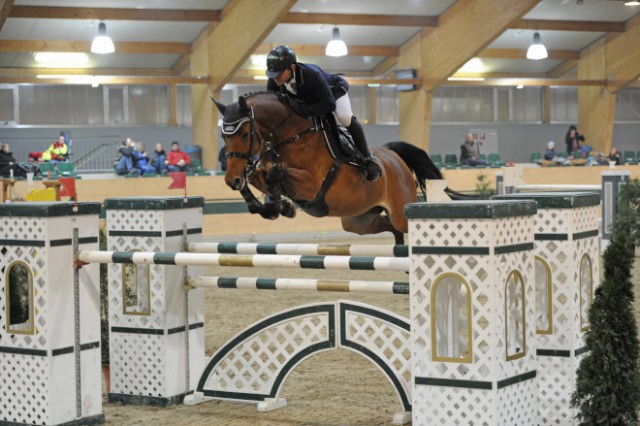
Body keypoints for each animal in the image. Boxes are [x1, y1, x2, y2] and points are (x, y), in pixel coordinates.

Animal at [215, 91, 460, 243]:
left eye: (244, 134)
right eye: (223, 136)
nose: (230, 179)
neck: (291, 135)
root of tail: (392, 155)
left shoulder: (311, 185)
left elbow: (274, 174)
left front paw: (281, 206)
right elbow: (259, 177)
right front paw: (270, 207)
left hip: (400, 211)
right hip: (358, 220)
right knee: (389, 226)